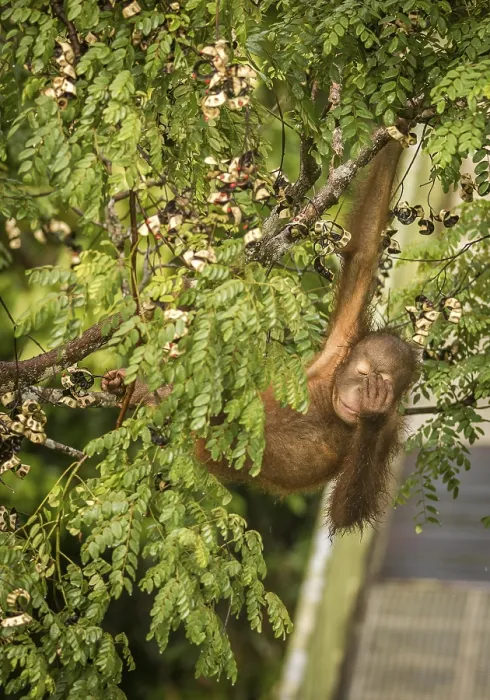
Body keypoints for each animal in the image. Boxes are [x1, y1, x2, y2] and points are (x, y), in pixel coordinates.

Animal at [102, 140, 419, 536]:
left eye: (382, 383)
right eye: (362, 373)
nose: (364, 394)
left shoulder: (391, 430)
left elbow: (347, 511)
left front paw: (372, 415)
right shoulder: (341, 341)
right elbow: (363, 253)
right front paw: (397, 131)